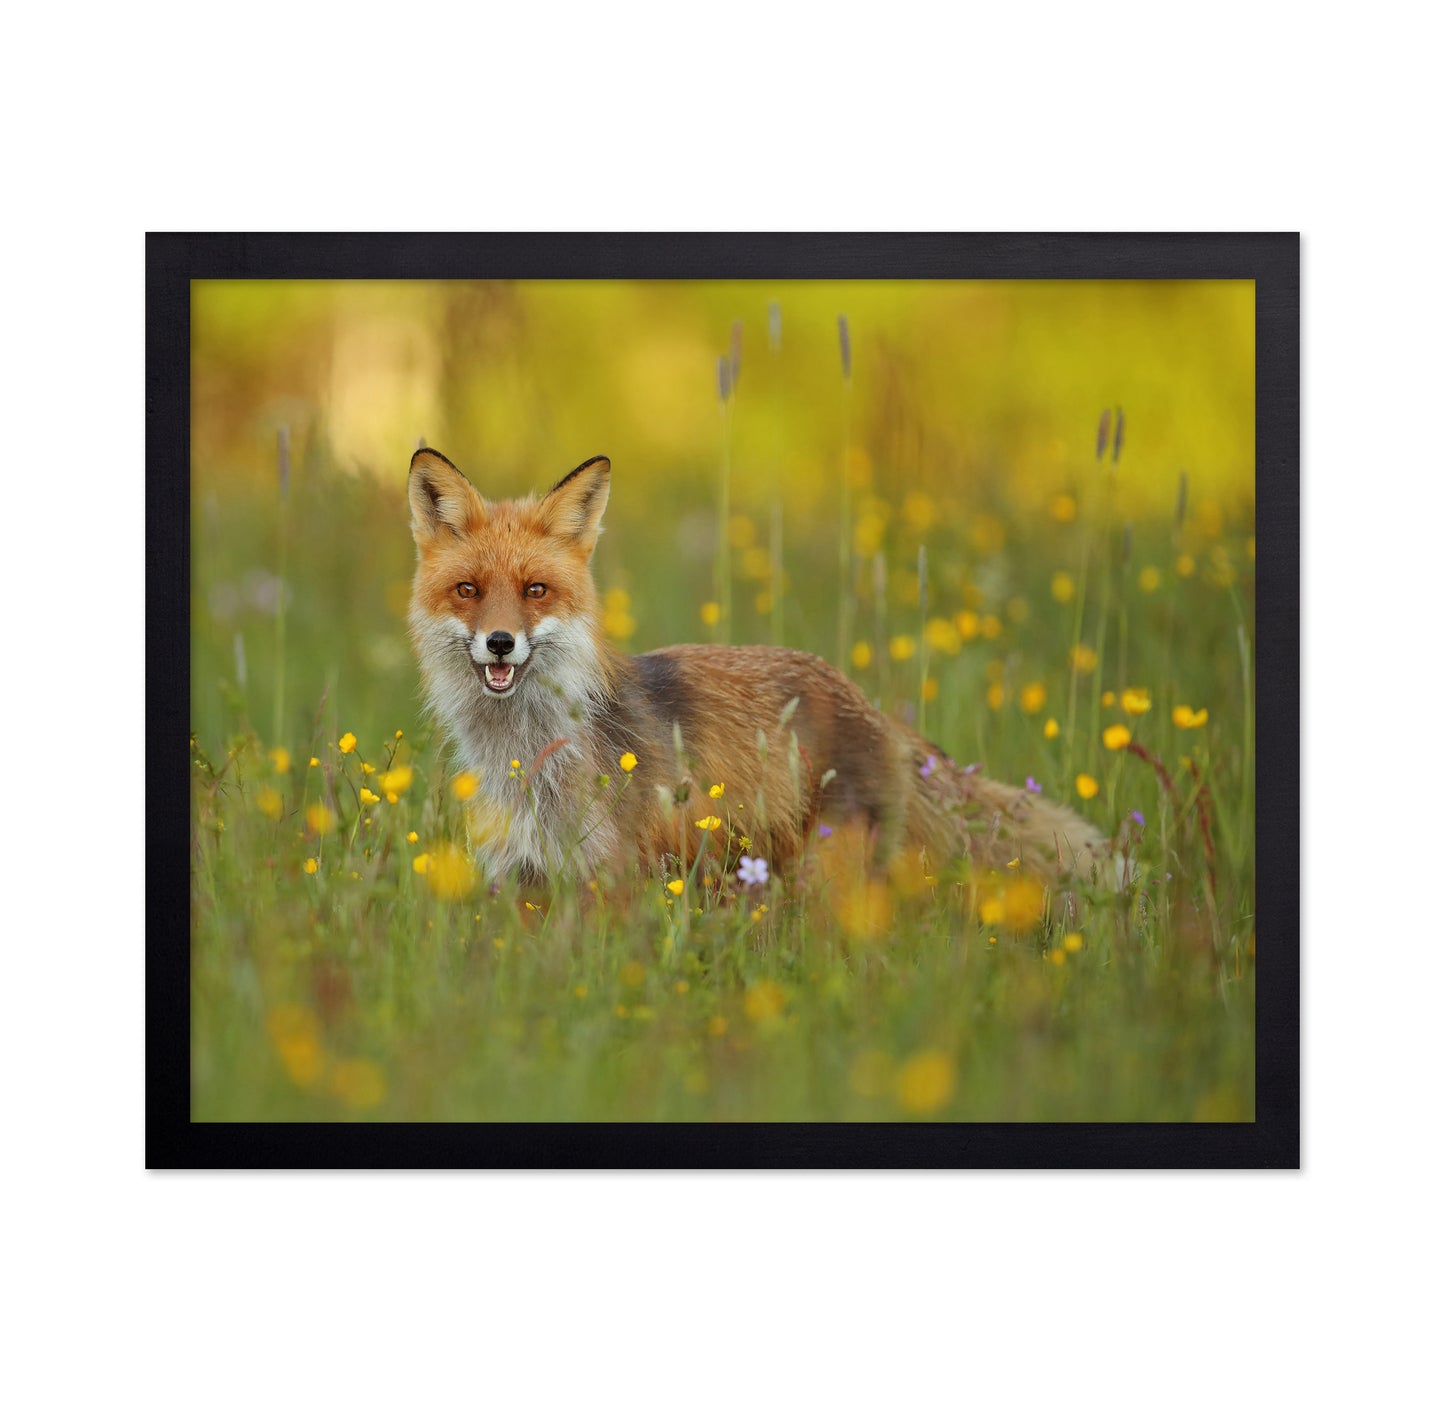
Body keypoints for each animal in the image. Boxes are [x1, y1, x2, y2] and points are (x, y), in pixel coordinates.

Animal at [407, 447, 1116, 893]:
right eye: (468, 591)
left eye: (535, 591)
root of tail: (869, 705)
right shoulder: (523, 876)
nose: (500, 643)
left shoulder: (610, 875)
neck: (532, 757)